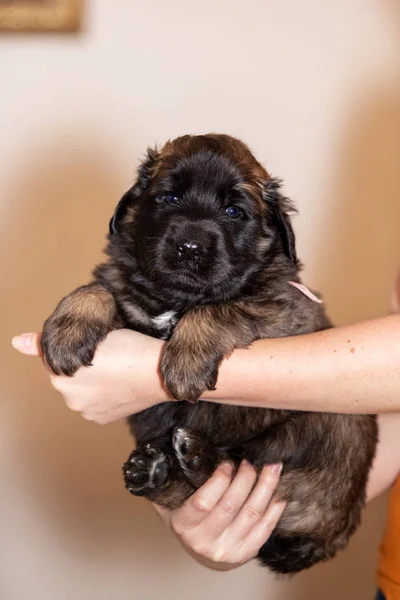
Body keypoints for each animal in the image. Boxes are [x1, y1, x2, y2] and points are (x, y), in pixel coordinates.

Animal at [40, 134, 378, 576]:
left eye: (235, 211)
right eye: (167, 197)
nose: (189, 247)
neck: (175, 300)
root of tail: (329, 538)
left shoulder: (285, 309)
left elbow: (221, 307)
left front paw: (186, 357)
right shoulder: (130, 297)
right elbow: (101, 287)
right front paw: (67, 328)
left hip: (326, 425)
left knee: (237, 468)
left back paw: (193, 457)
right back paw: (155, 471)